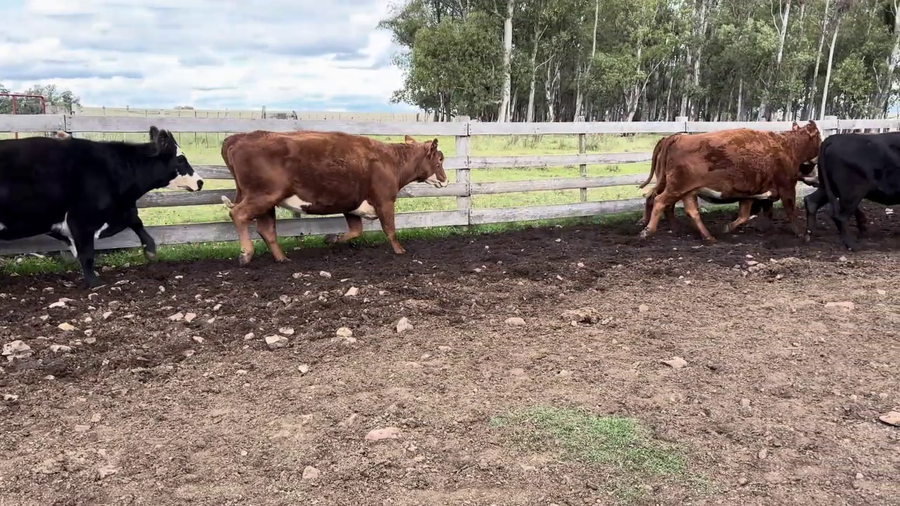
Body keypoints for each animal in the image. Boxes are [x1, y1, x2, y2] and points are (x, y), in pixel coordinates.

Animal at [0, 126, 203, 288]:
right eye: (181, 159)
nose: (200, 182)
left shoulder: (118, 211)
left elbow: (136, 221)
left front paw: (150, 250)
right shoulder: (81, 221)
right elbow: (87, 255)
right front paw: (94, 283)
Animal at [219, 130, 447, 266]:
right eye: (440, 160)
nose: (445, 180)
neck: (390, 160)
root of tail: (238, 137)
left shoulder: (351, 204)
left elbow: (355, 231)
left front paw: (331, 238)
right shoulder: (385, 201)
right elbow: (389, 229)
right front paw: (400, 251)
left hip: (267, 202)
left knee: (266, 230)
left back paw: (282, 258)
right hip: (263, 195)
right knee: (238, 214)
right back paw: (246, 253)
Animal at [640, 121, 821, 241]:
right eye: (819, 137)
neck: (787, 147)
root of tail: (678, 137)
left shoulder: (750, 194)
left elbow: (747, 215)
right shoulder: (787, 187)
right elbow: (790, 211)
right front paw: (802, 233)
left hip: (684, 189)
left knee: (680, 207)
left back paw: (705, 236)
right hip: (676, 187)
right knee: (660, 201)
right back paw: (648, 230)